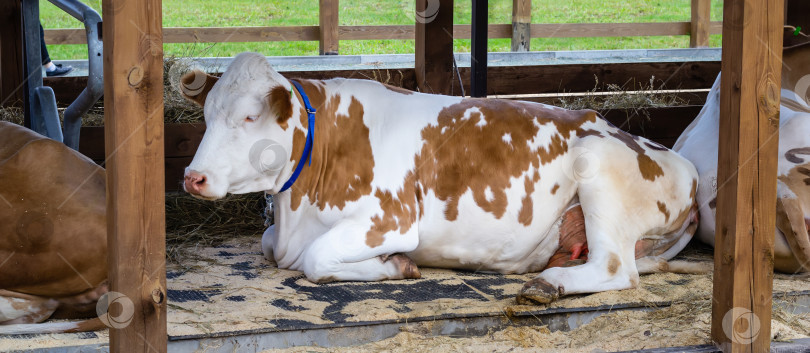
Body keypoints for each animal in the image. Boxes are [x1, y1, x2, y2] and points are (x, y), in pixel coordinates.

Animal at [180, 51, 696, 302]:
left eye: (250, 118)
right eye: (206, 115)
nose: (192, 177)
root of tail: (685, 166)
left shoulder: (389, 219)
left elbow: (315, 258)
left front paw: (397, 266)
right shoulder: (282, 235)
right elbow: (270, 245)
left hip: (598, 166)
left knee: (616, 268)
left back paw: (549, 285)